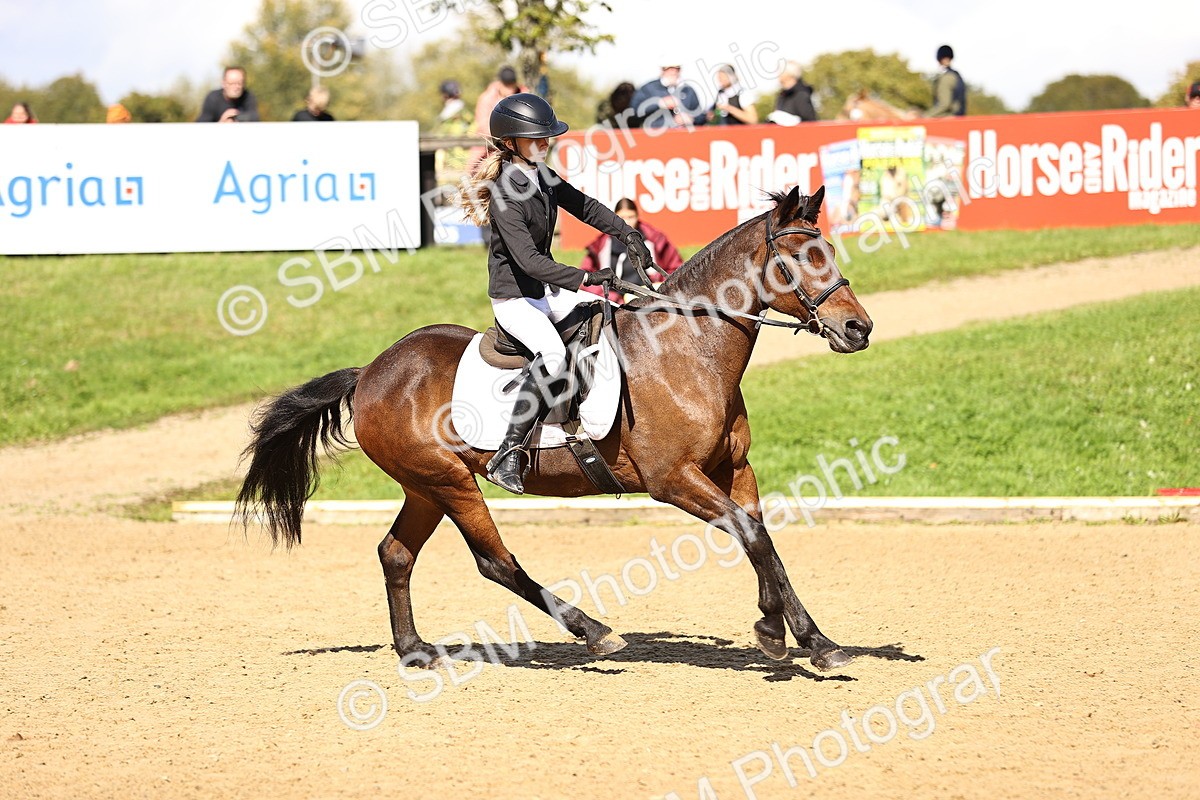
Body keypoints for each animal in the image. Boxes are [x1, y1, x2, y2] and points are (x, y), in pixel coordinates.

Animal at [235, 185, 874, 672]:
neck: (688, 349)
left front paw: (810, 639)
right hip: (448, 482)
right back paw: (594, 631)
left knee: (396, 553)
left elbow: (764, 539)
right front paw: (778, 632)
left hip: (425, 486)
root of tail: (370, 371)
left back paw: (415, 650)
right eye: (801, 259)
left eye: (829, 249)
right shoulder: (673, 479)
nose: (859, 329)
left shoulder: (733, 469)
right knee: (494, 561)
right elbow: (751, 535)